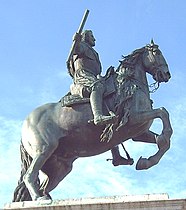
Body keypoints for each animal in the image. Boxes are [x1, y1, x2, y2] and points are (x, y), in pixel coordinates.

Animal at [13, 39, 173, 202]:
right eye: (157, 52)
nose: (166, 74)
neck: (130, 84)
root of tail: (26, 123)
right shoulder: (133, 119)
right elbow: (162, 112)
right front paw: (161, 139)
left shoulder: (138, 132)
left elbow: (164, 142)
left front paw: (146, 161)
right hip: (44, 149)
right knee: (29, 176)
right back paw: (40, 199)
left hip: (59, 166)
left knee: (42, 185)